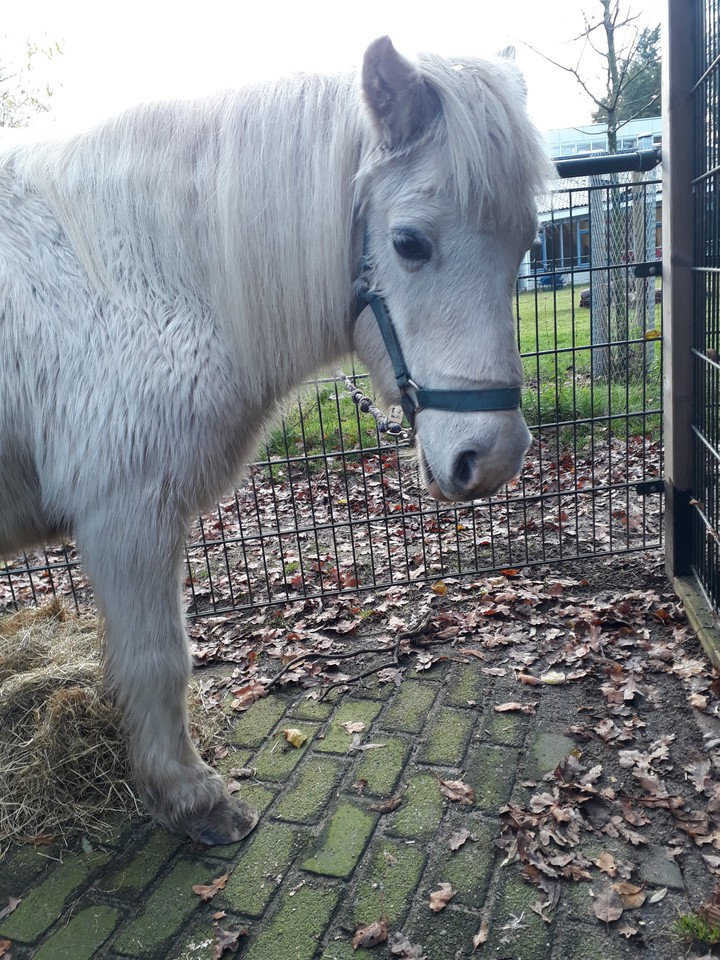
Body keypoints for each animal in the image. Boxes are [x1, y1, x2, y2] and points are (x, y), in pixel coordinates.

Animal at [0, 37, 548, 845]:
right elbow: (159, 659)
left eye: (526, 242)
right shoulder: (124, 515)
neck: (137, 281)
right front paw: (189, 796)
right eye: (409, 243)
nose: (493, 457)